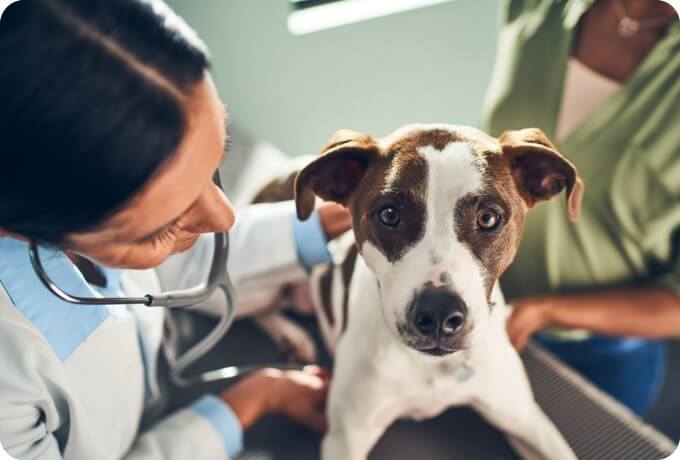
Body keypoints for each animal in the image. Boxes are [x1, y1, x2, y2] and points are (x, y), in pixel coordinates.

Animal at [252, 124, 580, 460]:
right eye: (389, 215)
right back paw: (291, 335)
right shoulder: (346, 438)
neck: (430, 365)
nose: (438, 314)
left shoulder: (525, 418)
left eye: (488, 218)